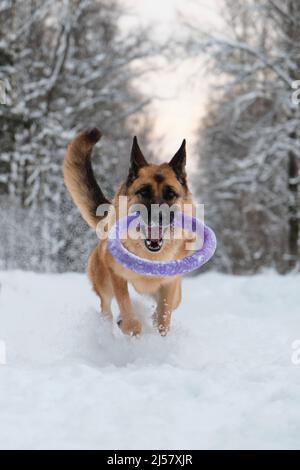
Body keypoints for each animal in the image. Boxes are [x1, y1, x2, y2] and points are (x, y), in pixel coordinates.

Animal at [63, 127, 195, 334]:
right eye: (144, 192)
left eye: (170, 194)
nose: (158, 217)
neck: (149, 256)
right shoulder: (117, 276)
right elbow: (127, 310)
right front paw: (131, 328)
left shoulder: (169, 284)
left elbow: (163, 318)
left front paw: (159, 332)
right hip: (104, 283)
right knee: (106, 307)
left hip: (176, 294)